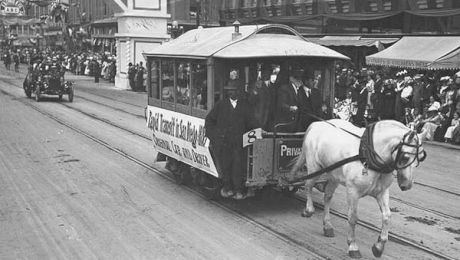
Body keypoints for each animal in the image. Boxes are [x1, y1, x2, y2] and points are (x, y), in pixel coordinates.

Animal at [292, 119, 428, 258]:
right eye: (405, 157)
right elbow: (353, 218)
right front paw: (353, 246)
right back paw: (308, 209)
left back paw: (327, 226)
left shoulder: (382, 192)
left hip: (334, 175)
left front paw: (379, 246)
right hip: (314, 167)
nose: (407, 185)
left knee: (327, 197)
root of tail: (317, 123)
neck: (369, 156)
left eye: (421, 157)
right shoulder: (353, 191)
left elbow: (387, 216)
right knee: (308, 185)